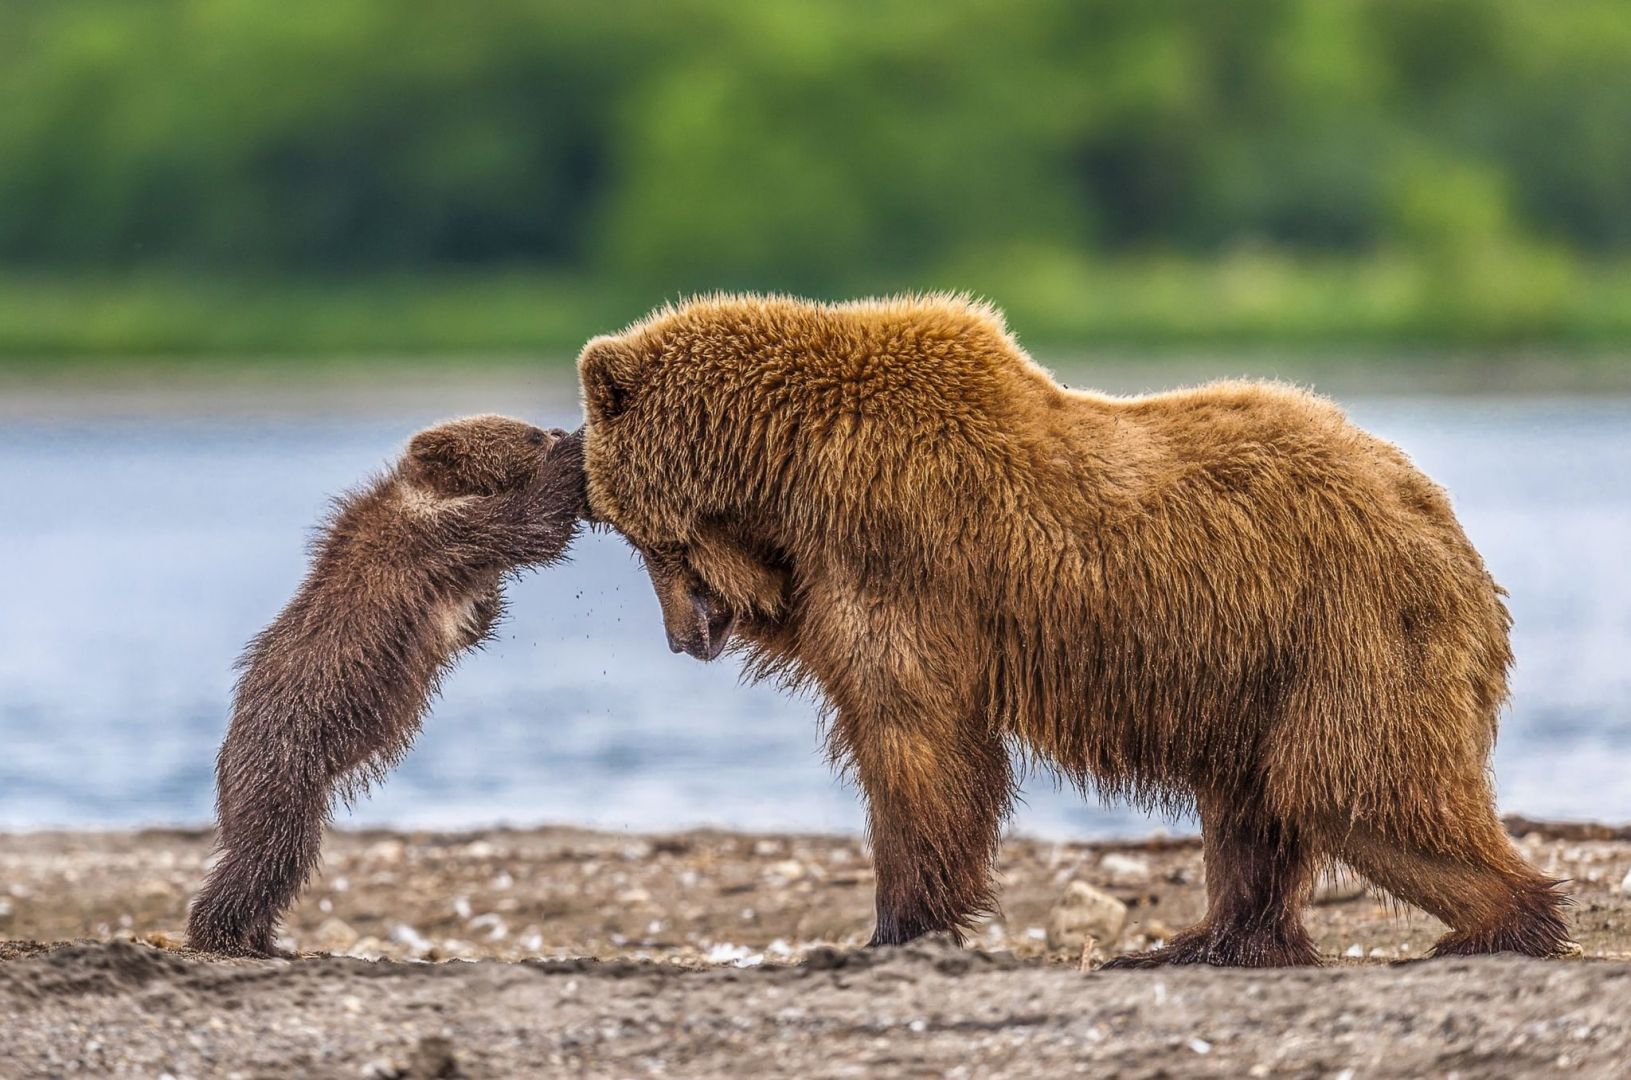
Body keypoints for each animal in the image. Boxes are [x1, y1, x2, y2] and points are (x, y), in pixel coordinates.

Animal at [580, 293, 1572, 965]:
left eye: (638, 536)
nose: (683, 637)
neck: (785, 463)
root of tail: (1446, 528)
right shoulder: (829, 566)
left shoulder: (897, 546)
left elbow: (915, 740)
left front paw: (895, 924)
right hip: (1261, 669)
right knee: (1255, 807)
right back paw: (1203, 940)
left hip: (1348, 628)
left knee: (1353, 790)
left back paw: (1496, 922)